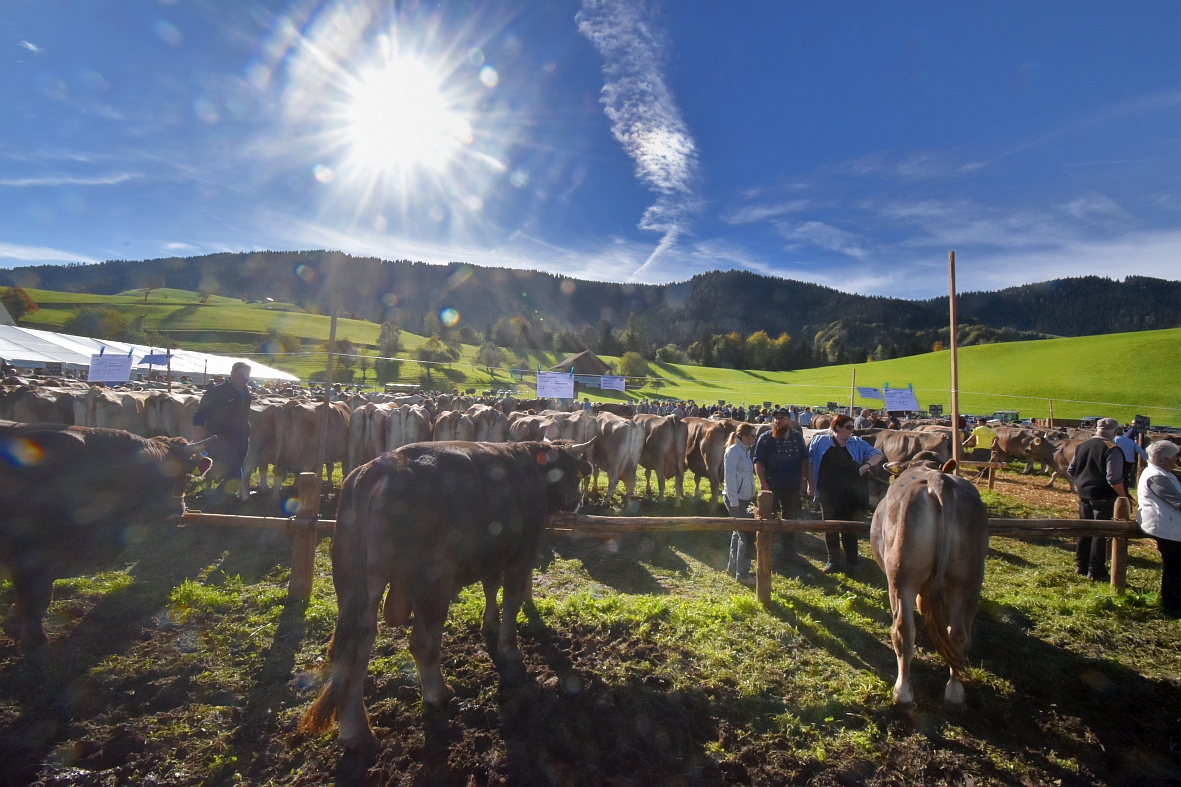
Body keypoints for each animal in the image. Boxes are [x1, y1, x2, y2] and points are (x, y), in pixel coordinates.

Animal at [873, 453, 992, 704]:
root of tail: (939, 480)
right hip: (968, 581)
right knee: (958, 634)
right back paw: (955, 691)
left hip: (902, 578)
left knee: (903, 631)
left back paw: (902, 693)